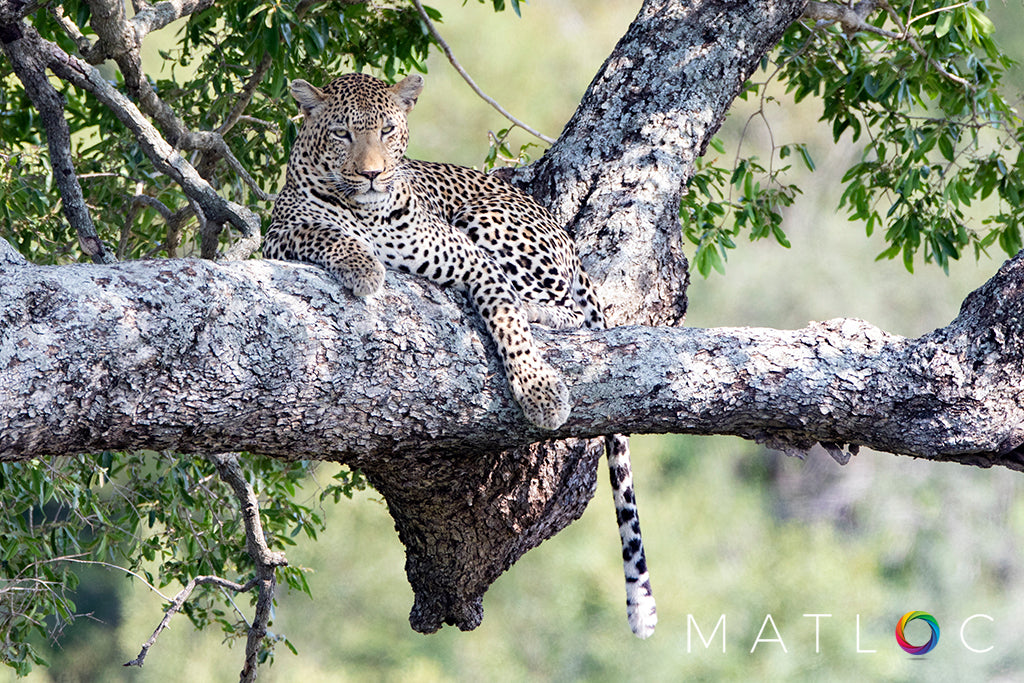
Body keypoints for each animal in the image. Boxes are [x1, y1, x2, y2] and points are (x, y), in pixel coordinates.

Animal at [264, 72, 659, 638]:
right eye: (342, 134)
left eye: (387, 131)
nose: (372, 174)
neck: (368, 212)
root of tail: (563, 235)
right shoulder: (278, 238)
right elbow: (322, 231)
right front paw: (363, 266)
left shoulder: (473, 261)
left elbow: (505, 316)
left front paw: (538, 391)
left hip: (493, 226)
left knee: (565, 308)